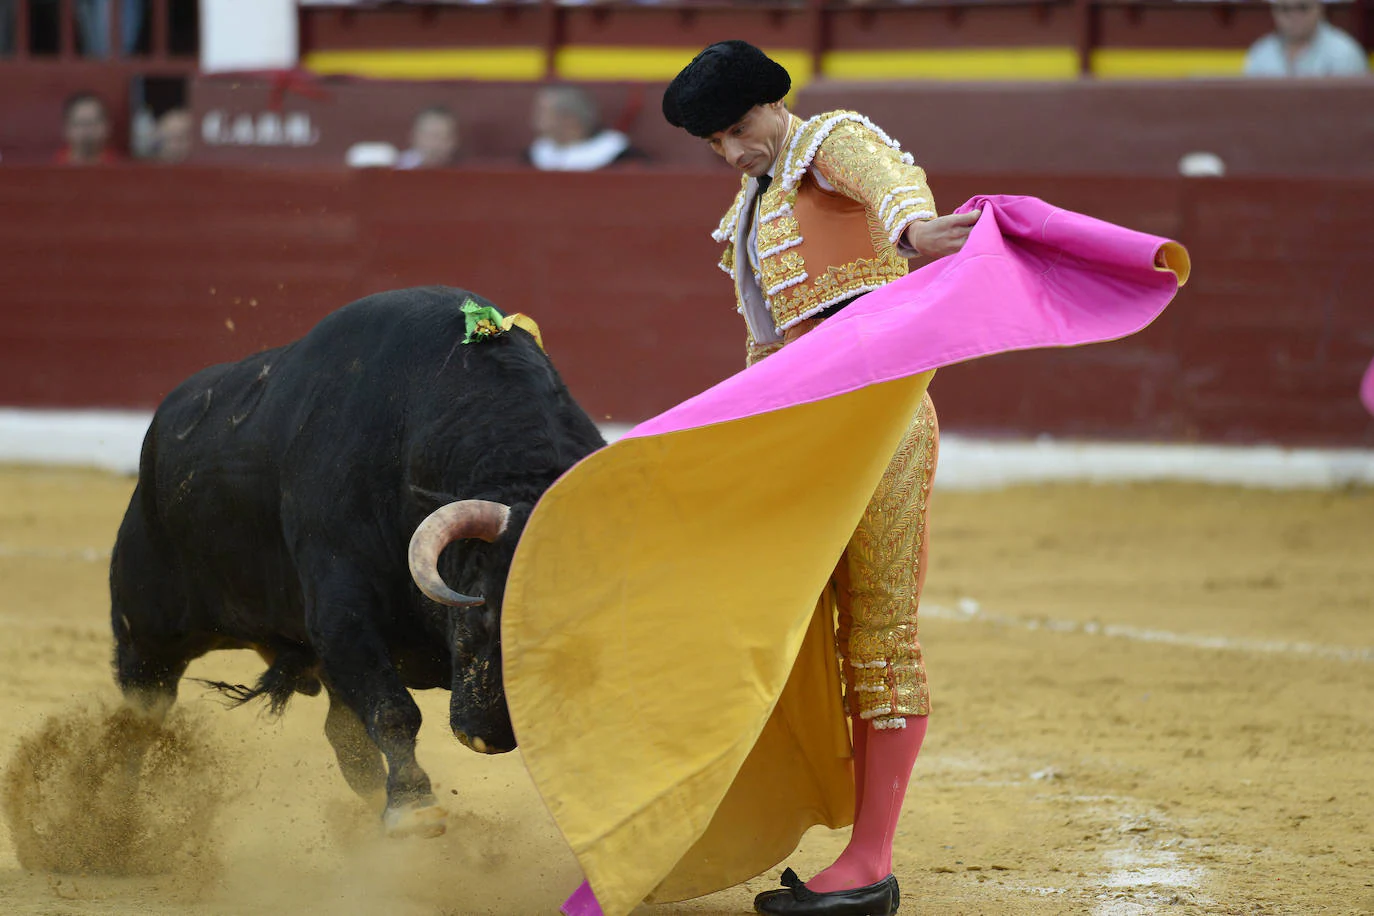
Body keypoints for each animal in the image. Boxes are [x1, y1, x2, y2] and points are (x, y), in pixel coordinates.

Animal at [115, 288, 610, 840]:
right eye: (482, 613)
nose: (491, 736)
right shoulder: (342, 616)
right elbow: (394, 711)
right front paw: (415, 808)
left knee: (345, 739)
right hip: (148, 631)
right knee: (139, 715)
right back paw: (115, 826)